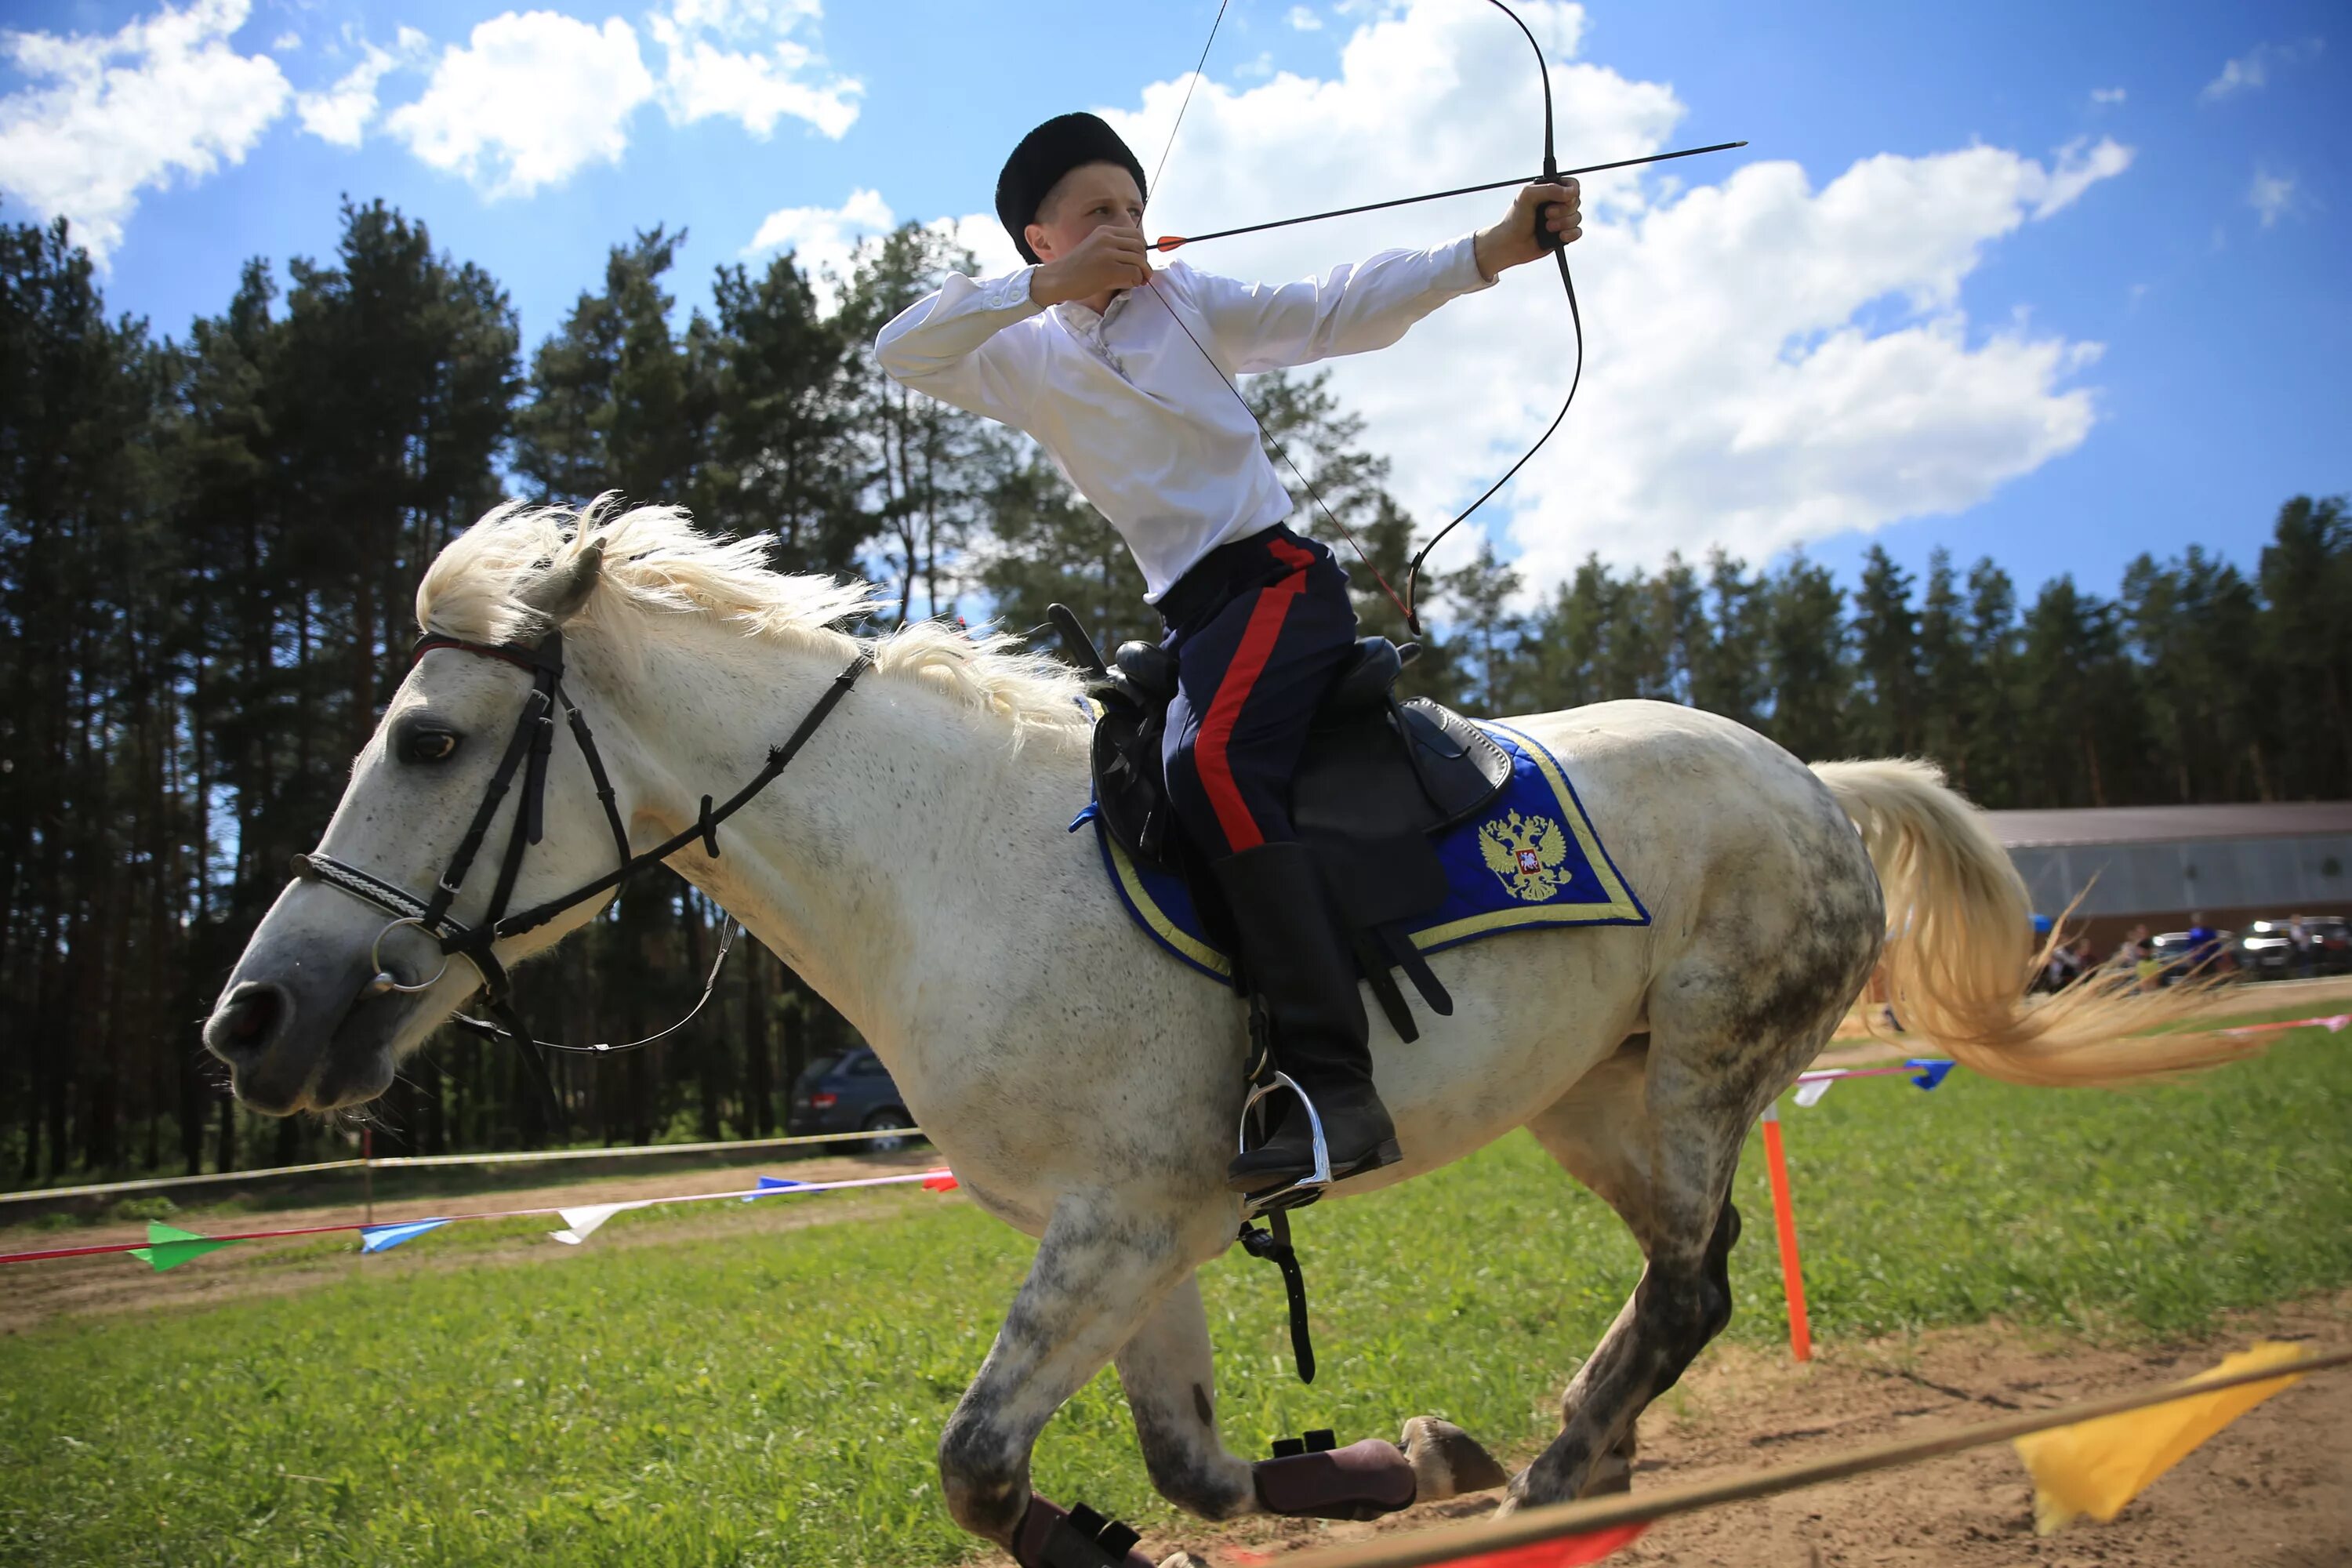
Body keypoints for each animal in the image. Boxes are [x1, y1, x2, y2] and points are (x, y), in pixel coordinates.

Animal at [207, 505, 2239, 1568]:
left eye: (430, 741)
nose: (254, 1016)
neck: (949, 858)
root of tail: (1818, 776)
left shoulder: (1121, 1216)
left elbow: (979, 1464)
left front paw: (1396, 1470)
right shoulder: (1136, 1230)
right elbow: (1176, 1462)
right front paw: (1398, 1460)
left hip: (1693, 1074)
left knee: (1694, 1281)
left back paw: (1568, 1463)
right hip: (1588, 1101)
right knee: (1691, 1272)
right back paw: (1551, 1458)